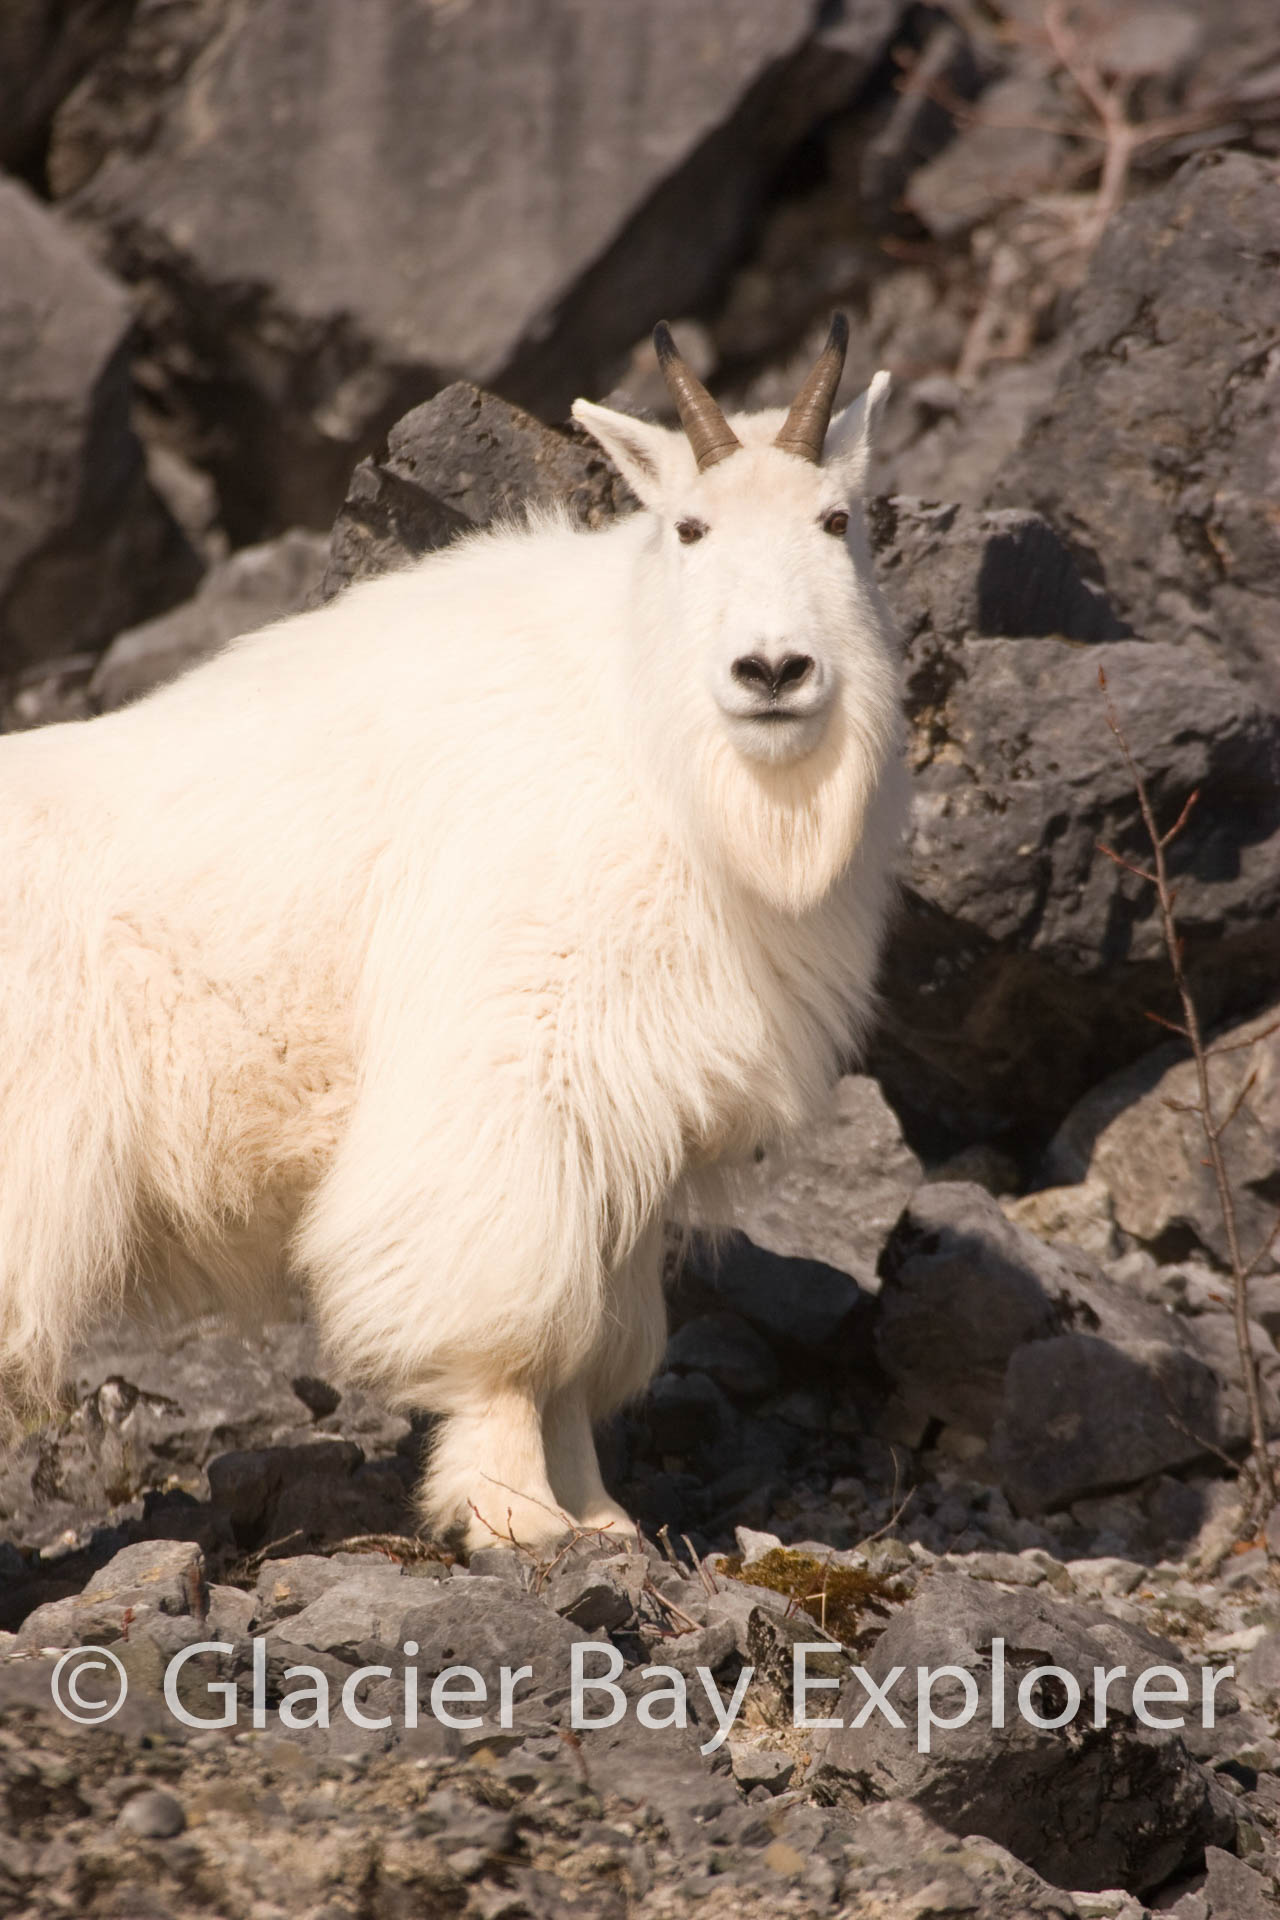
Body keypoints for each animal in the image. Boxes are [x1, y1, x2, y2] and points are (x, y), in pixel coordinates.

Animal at [0, 319, 908, 1551]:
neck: (646, 740)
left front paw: (601, 1517)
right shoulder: (511, 1070)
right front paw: (516, 1515)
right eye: (690, 527)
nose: (772, 672)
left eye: (837, 519)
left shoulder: (618, 1123)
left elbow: (593, 1340)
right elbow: (510, 1327)